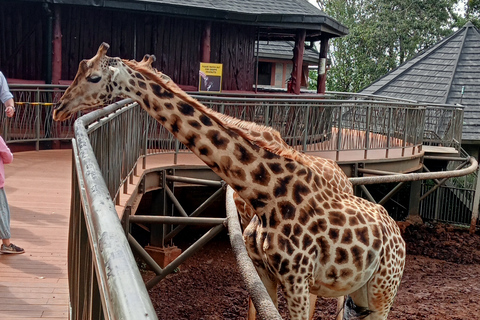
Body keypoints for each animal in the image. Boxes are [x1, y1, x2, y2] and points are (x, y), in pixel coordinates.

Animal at [53, 43, 404, 320]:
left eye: (94, 77)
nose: (59, 108)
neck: (267, 195)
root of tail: (396, 233)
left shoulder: (299, 281)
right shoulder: (265, 271)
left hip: (383, 291)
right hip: (358, 291)